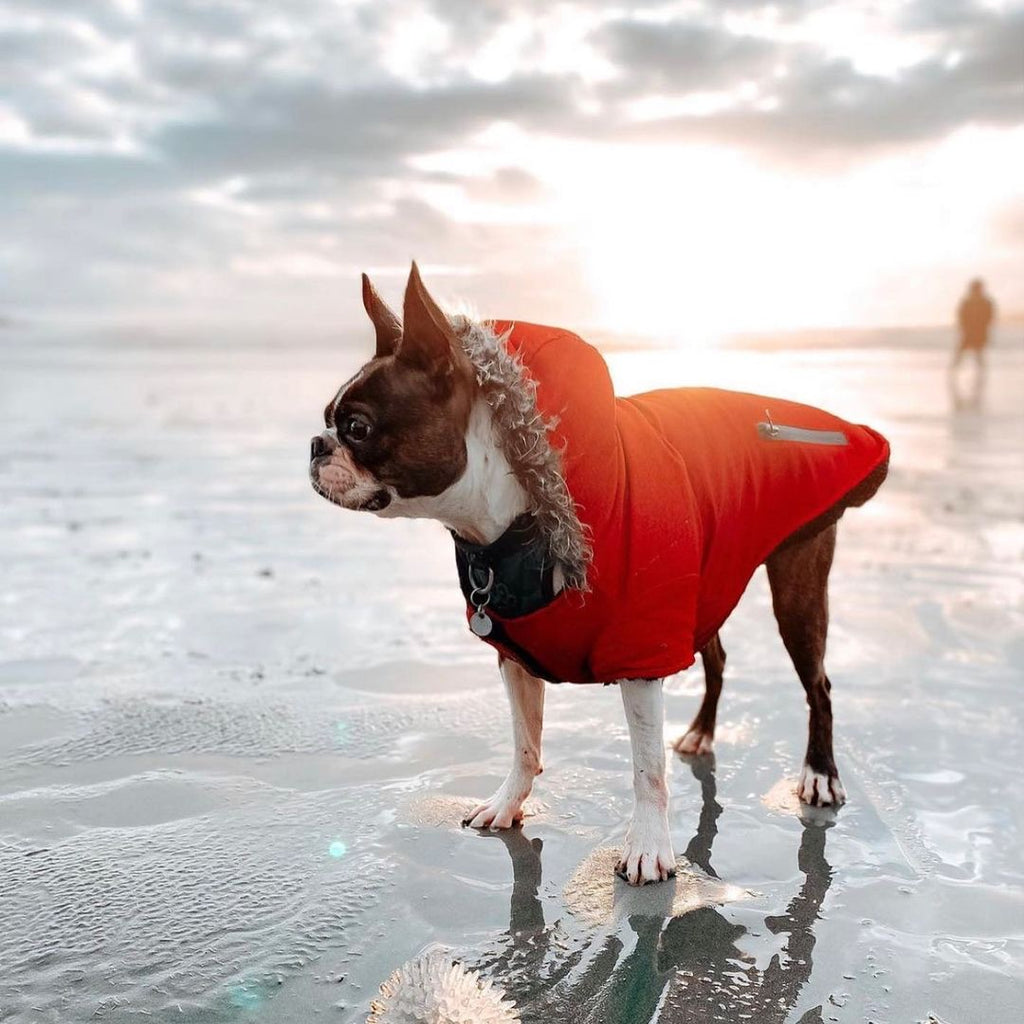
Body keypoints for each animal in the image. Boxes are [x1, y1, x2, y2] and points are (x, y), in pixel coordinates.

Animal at [309, 260, 888, 884]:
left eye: (358, 428)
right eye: (327, 421)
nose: (316, 444)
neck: (510, 520)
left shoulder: (641, 647)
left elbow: (646, 767)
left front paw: (648, 849)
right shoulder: (516, 652)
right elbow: (525, 744)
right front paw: (508, 805)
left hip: (795, 583)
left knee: (818, 684)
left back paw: (819, 774)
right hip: (702, 584)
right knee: (717, 658)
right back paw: (702, 731)